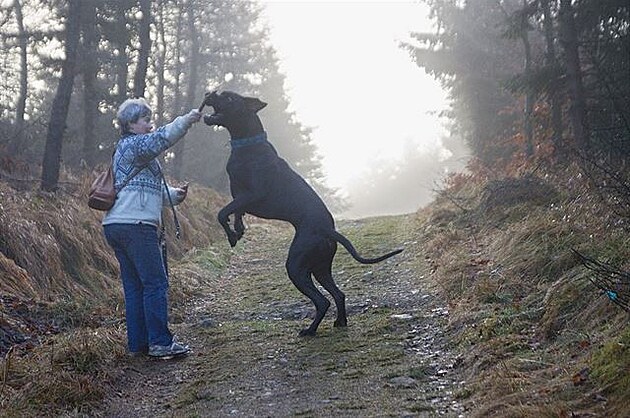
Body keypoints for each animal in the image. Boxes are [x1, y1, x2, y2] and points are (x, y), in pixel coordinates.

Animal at [200, 90, 402, 336]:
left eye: (229, 98)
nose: (211, 92)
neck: (247, 143)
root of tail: (328, 230)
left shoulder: (252, 196)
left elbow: (222, 213)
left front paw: (231, 235)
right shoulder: (239, 197)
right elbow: (235, 212)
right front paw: (237, 230)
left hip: (296, 266)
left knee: (322, 301)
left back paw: (310, 330)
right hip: (320, 268)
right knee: (338, 294)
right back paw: (340, 322)